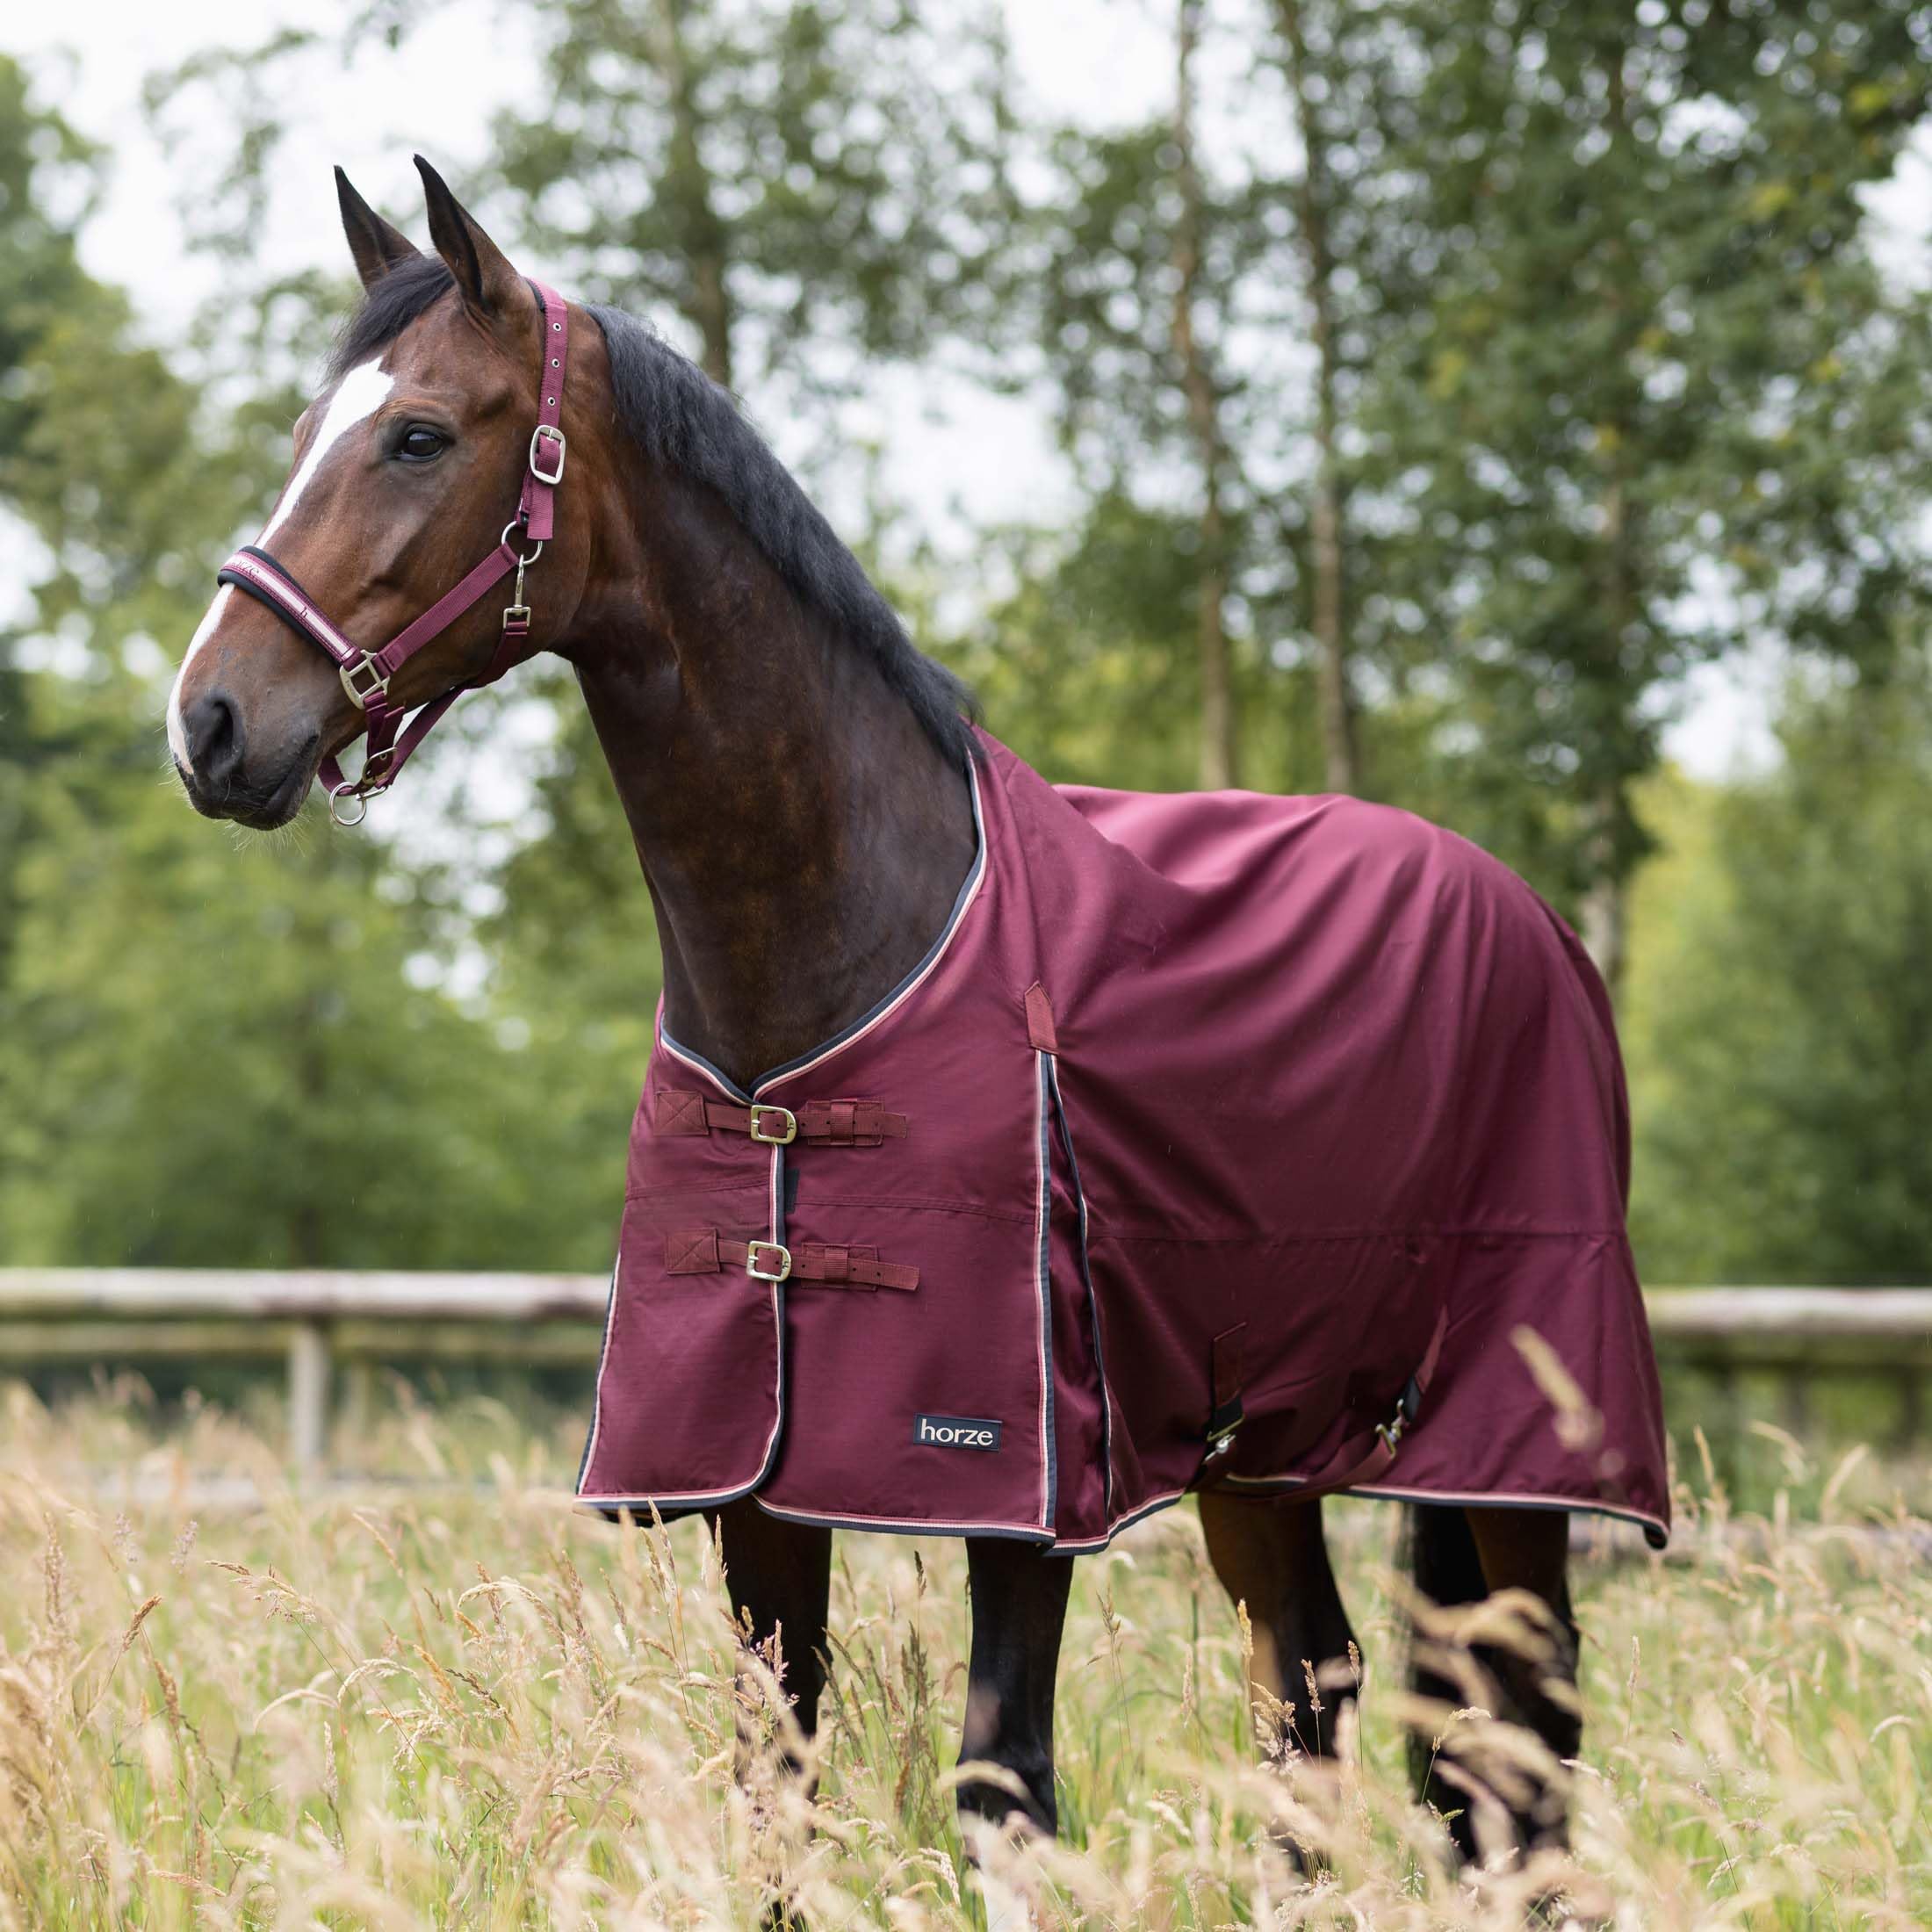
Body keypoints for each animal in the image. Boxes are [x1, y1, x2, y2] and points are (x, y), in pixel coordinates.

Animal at [169, 159, 1668, 1899]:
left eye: (417, 434)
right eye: (304, 432)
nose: (210, 723)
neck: (836, 947)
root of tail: (1533, 918)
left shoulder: (1017, 1492)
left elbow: (1002, 1793)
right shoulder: (750, 1486)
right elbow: (774, 1790)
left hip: (1513, 1450)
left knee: (1527, 1736)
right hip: (1266, 1450)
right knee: (1320, 1697)